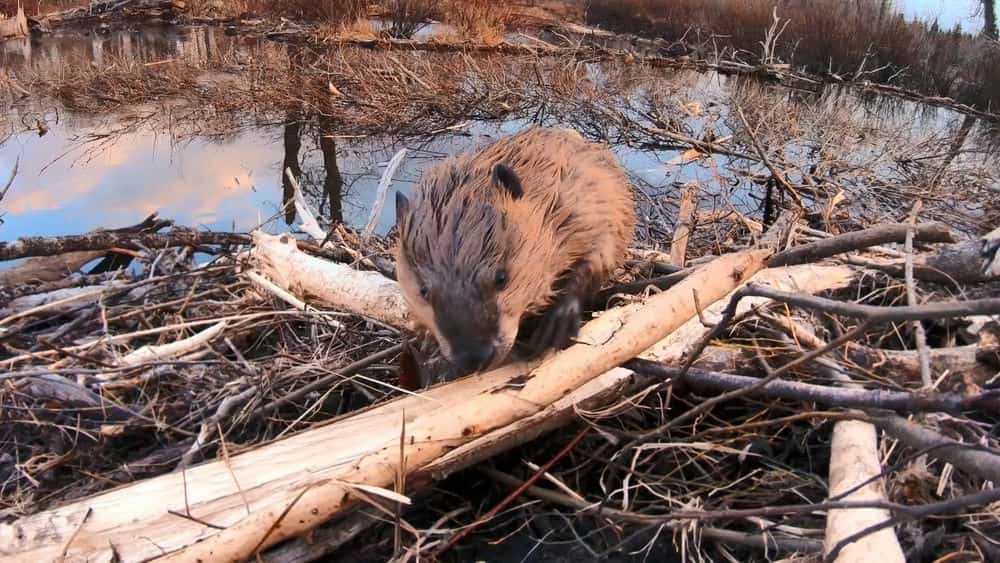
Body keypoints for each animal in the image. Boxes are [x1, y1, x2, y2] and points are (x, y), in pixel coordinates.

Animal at [390, 126, 632, 384]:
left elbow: (599, 254)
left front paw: (555, 327)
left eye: (501, 278)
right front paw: (436, 359)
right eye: (423, 291)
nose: (474, 358)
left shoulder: (591, 201)